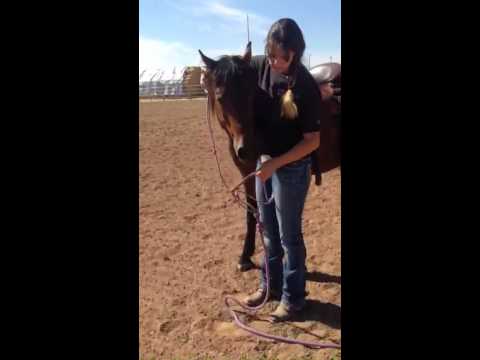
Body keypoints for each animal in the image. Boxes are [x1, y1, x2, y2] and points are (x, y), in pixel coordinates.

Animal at [199, 43, 342, 270]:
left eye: (251, 94)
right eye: (221, 97)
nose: (247, 149)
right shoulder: (248, 172)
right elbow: (252, 210)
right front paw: (245, 256)